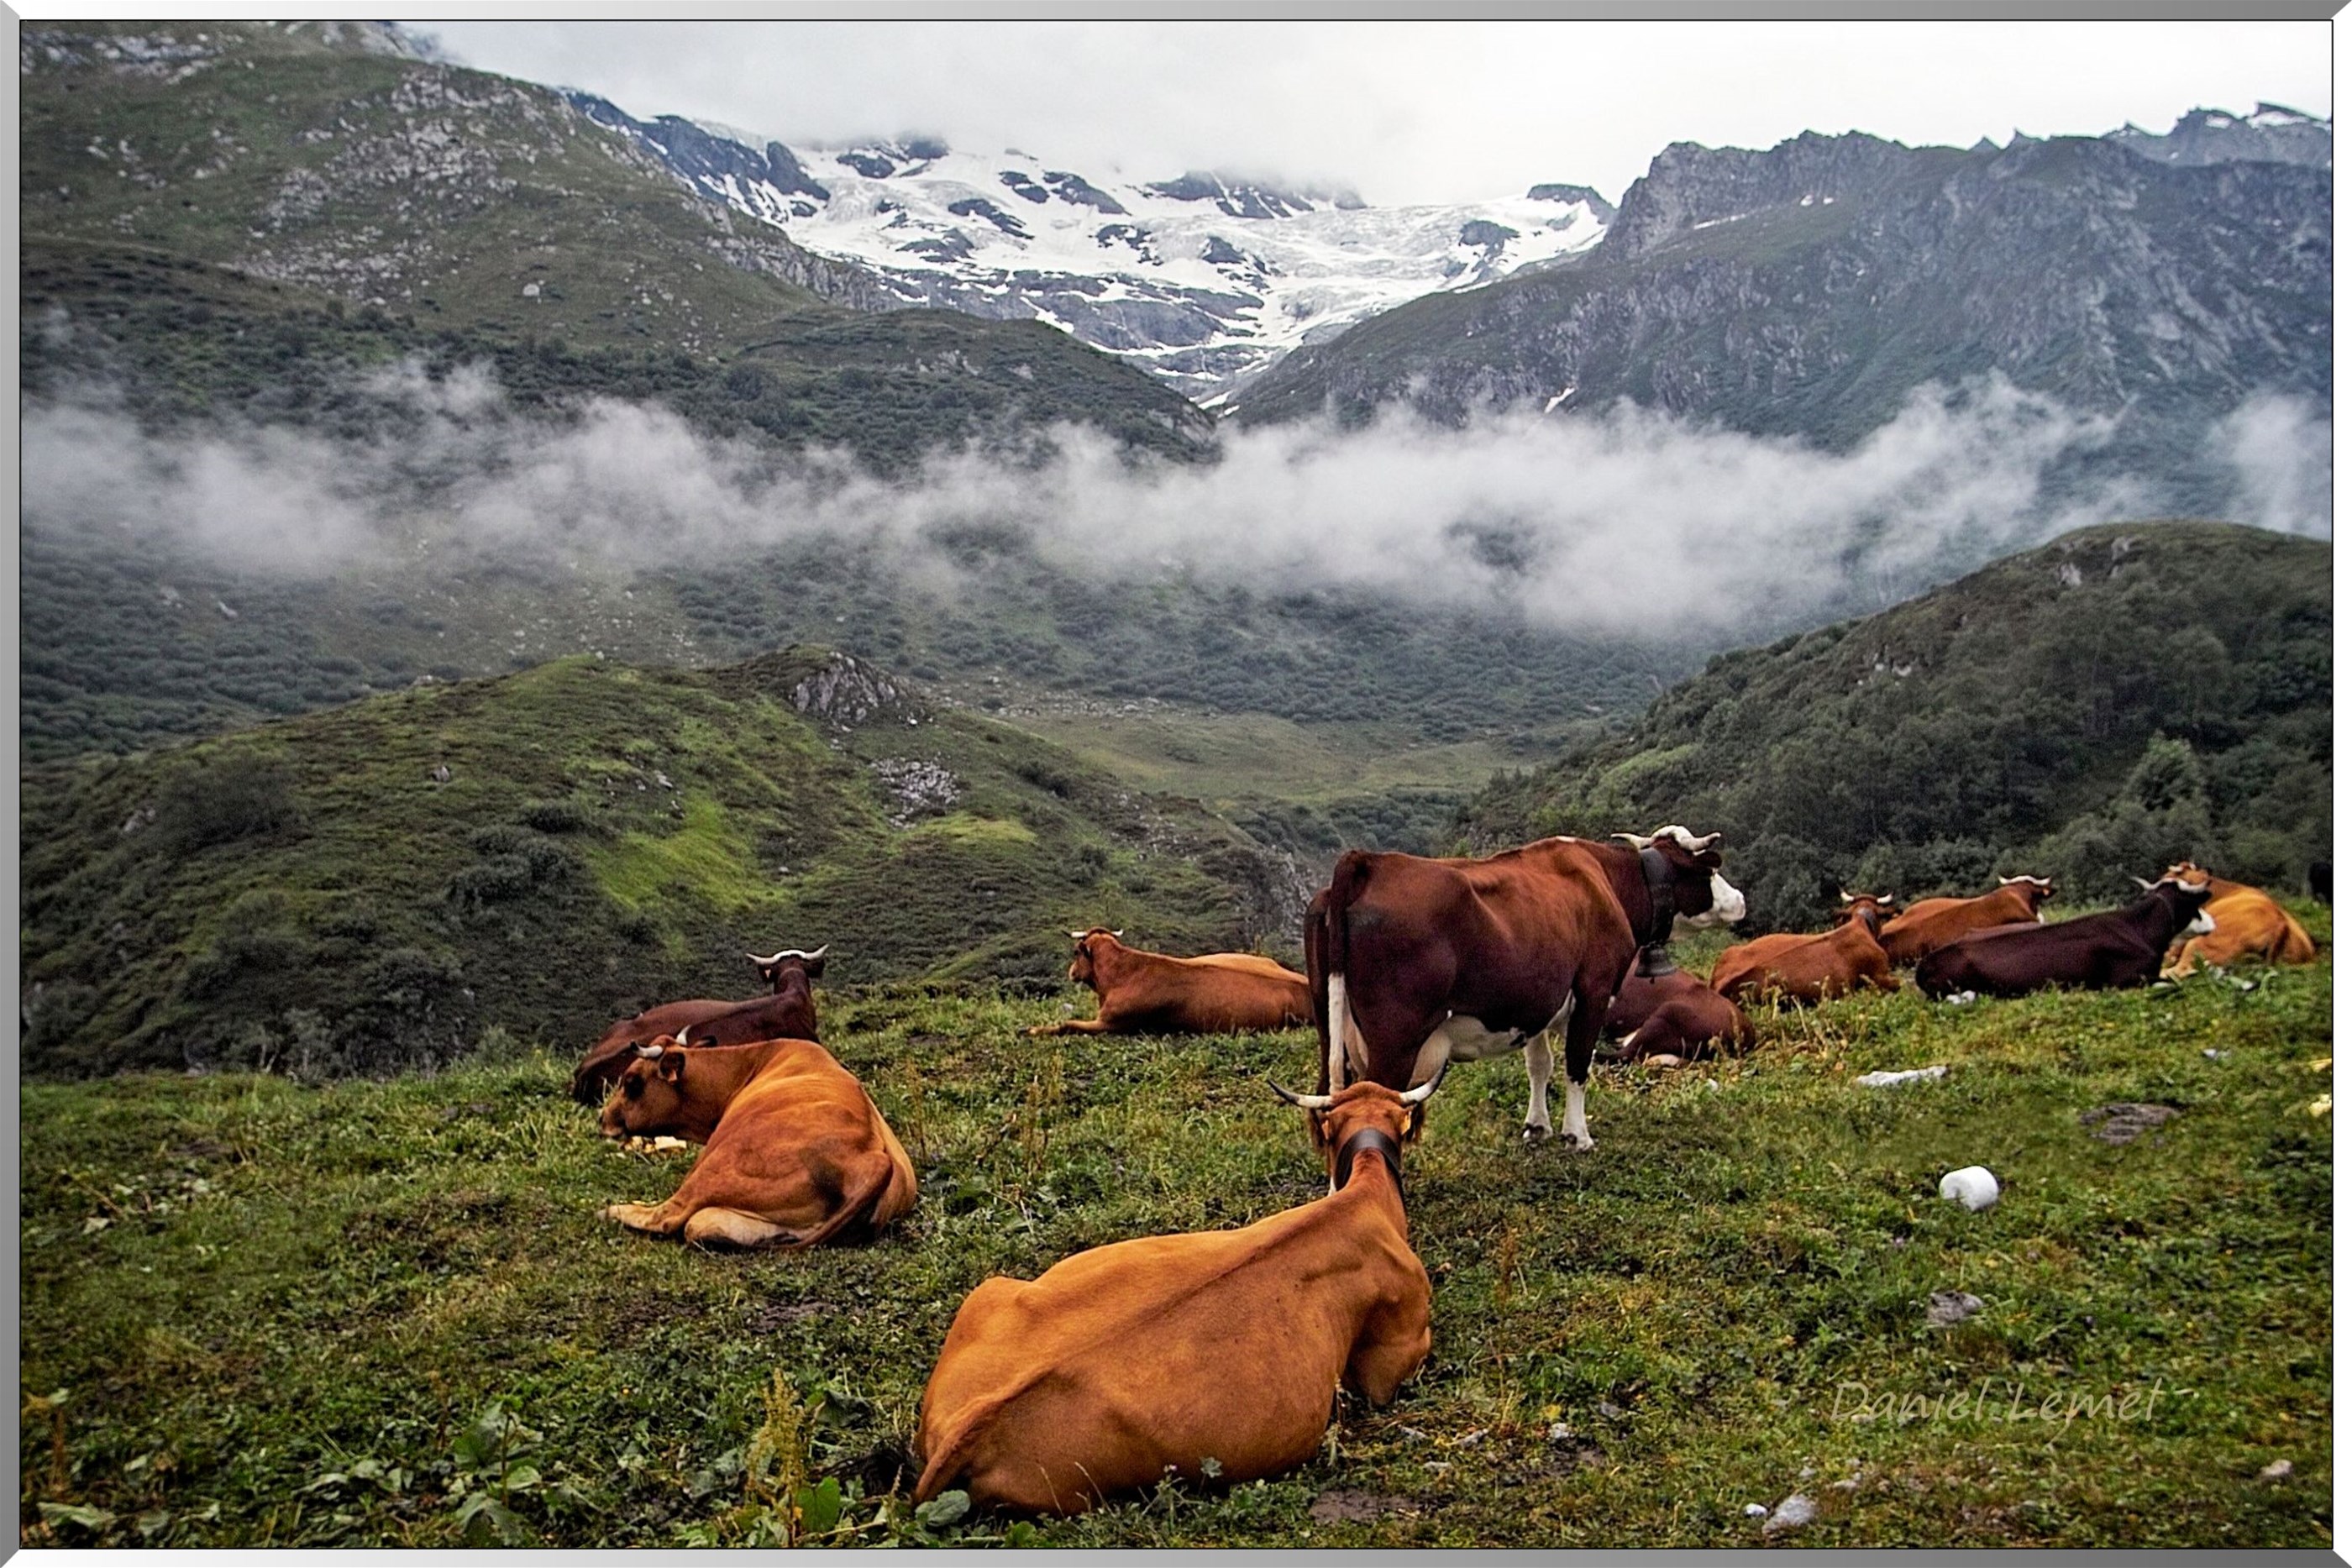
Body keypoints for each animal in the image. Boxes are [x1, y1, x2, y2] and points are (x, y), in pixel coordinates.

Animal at [597, 1033, 915, 1249]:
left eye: (631, 1082)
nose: (602, 1118)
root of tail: (871, 1159)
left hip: (715, 1169)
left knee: (669, 1217)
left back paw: (611, 1210)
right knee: (702, 1225)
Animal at [1026, 929, 1311, 1037]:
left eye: (1076, 952)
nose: (1071, 972)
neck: (1121, 974)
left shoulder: (1114, 1022)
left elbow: (1069, 1024)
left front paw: (1031, 1030)